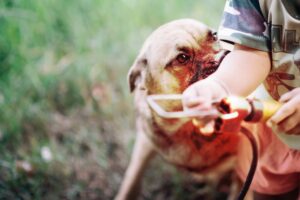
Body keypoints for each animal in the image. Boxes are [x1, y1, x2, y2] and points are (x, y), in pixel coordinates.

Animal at [115, 18, 241, 200]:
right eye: (182, 58)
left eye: (214, 36)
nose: (227, 57)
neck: (189, 126)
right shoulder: (144, 143)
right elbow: (131, 181)